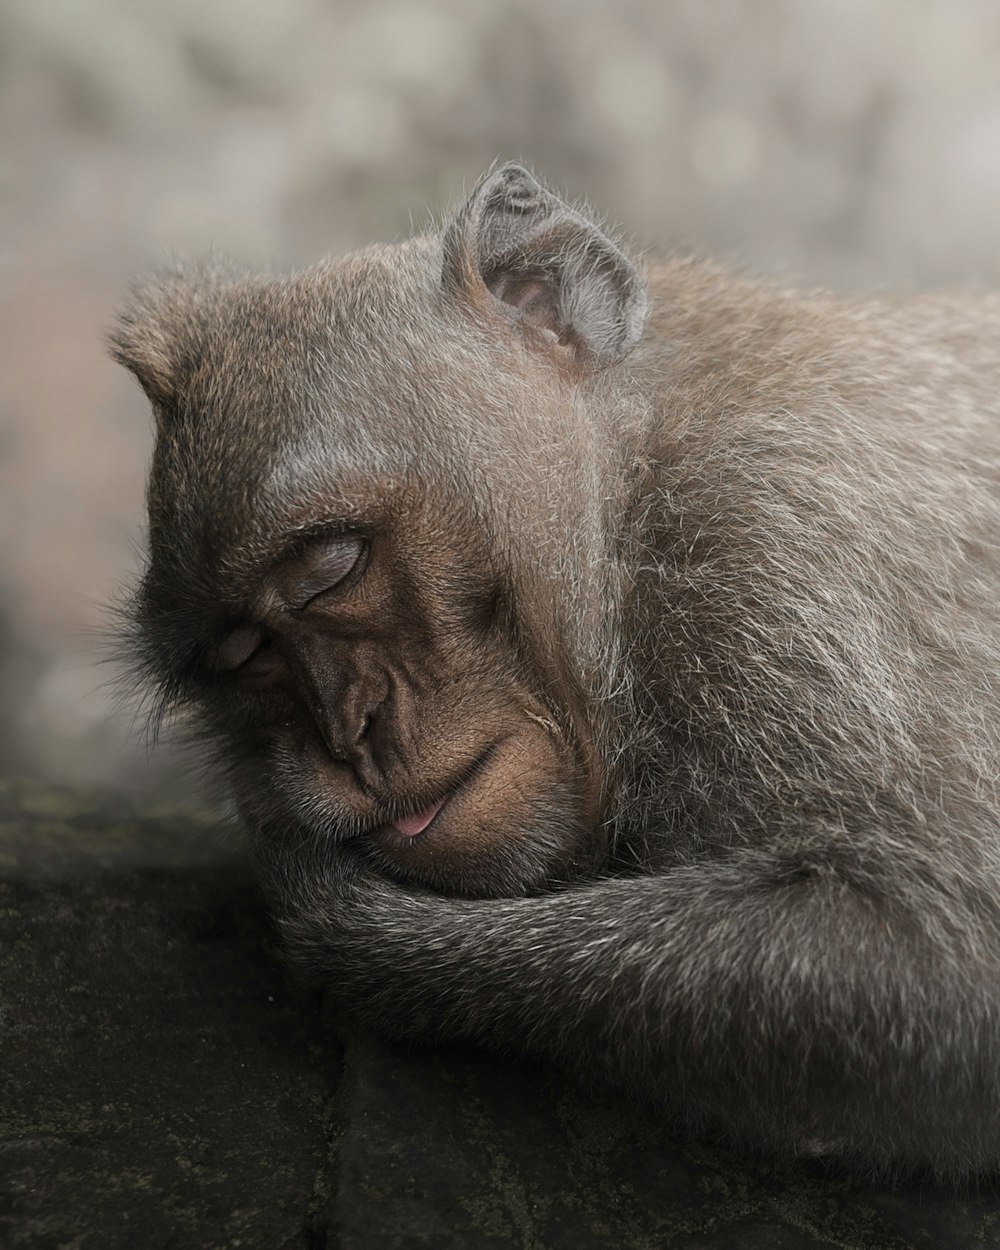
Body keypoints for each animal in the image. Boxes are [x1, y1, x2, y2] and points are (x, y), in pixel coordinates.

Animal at [111, 163, 1000, 1170]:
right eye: (245, 653)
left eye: (329, 567)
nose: (348, 736)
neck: (634, 467)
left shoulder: (776, 543)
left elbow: (940, 964)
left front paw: (333, 921)